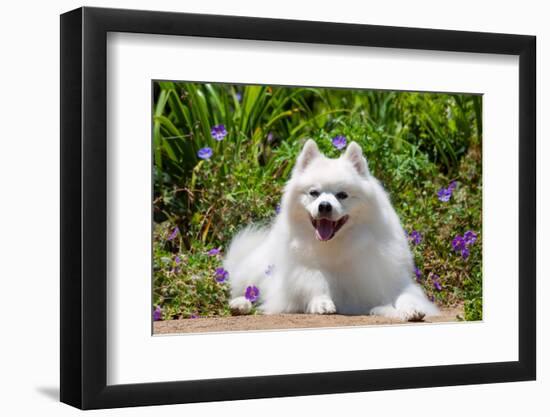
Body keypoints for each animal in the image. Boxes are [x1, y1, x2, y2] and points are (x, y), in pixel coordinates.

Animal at [224, 138, 440, 320]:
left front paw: (410, 309)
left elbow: (405, 296)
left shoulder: (387, 279)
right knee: (247, 290)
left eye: (342, 195)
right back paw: (240, 304)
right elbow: (315, 281)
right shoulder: (304, 271)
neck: (336, 244)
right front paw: (321, 302)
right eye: (314, 193)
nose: (325, 206)